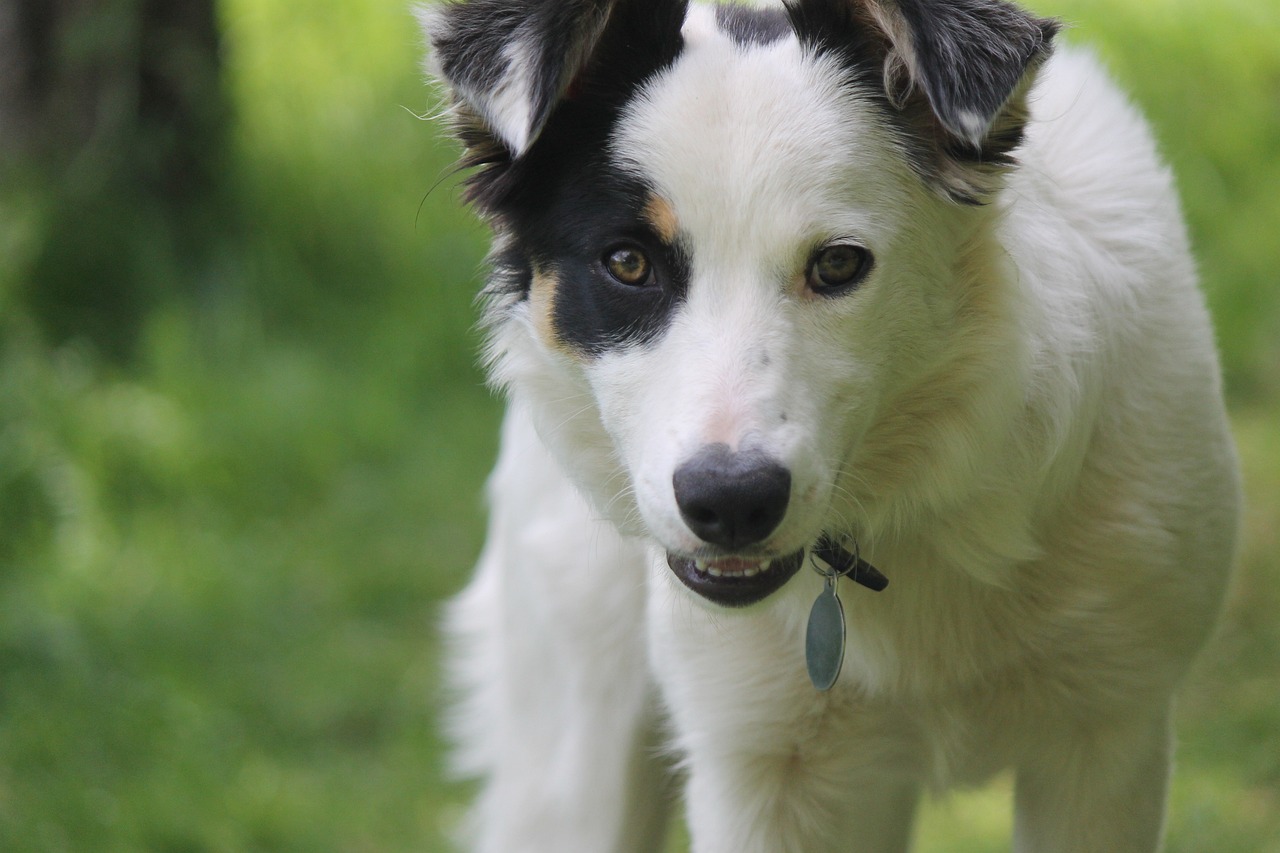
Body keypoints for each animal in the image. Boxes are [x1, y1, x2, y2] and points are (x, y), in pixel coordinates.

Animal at [419, 3, 1239, 845]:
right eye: (627, 263)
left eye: (839, 265)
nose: (731, 502)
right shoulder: (765, 766)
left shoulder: (1110, 731)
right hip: (575, 743)